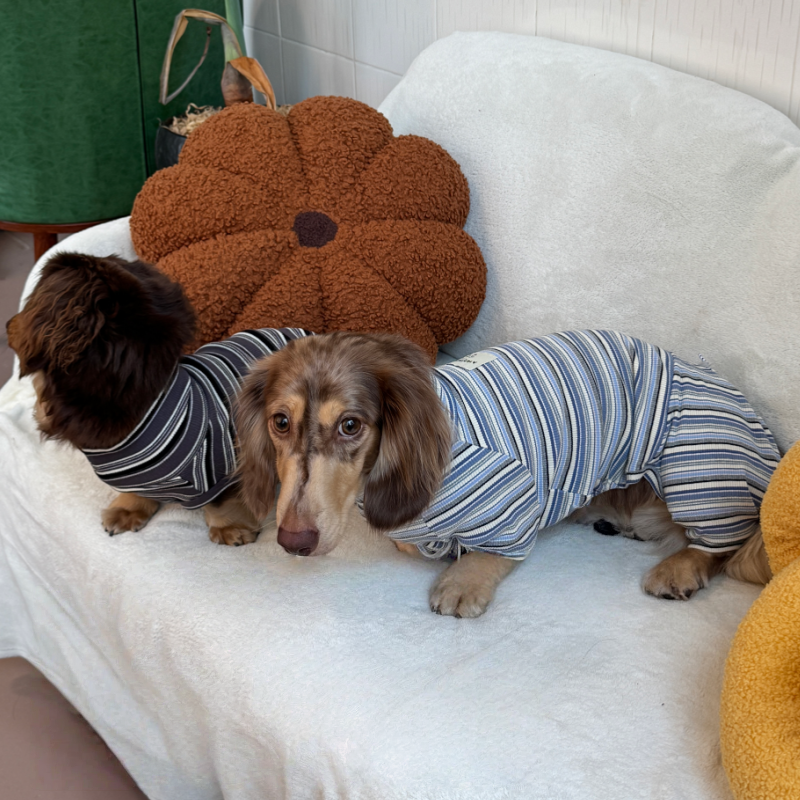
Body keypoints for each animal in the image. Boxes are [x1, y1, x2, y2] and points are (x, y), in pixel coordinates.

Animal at [6, 251, 311, 545]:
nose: (8, 322)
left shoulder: (226, 462)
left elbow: (222, 501)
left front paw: (231, 527)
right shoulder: (138, 477)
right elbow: (138, 490)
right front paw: (128, 509)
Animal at [234, 329, 780, 617]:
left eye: (350, 425)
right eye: (280, 422)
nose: (292, 541)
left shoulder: (515, 498)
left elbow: (492, 552)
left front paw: (463, 581)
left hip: (695, 464)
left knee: (727, 543)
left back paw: (680, 567)